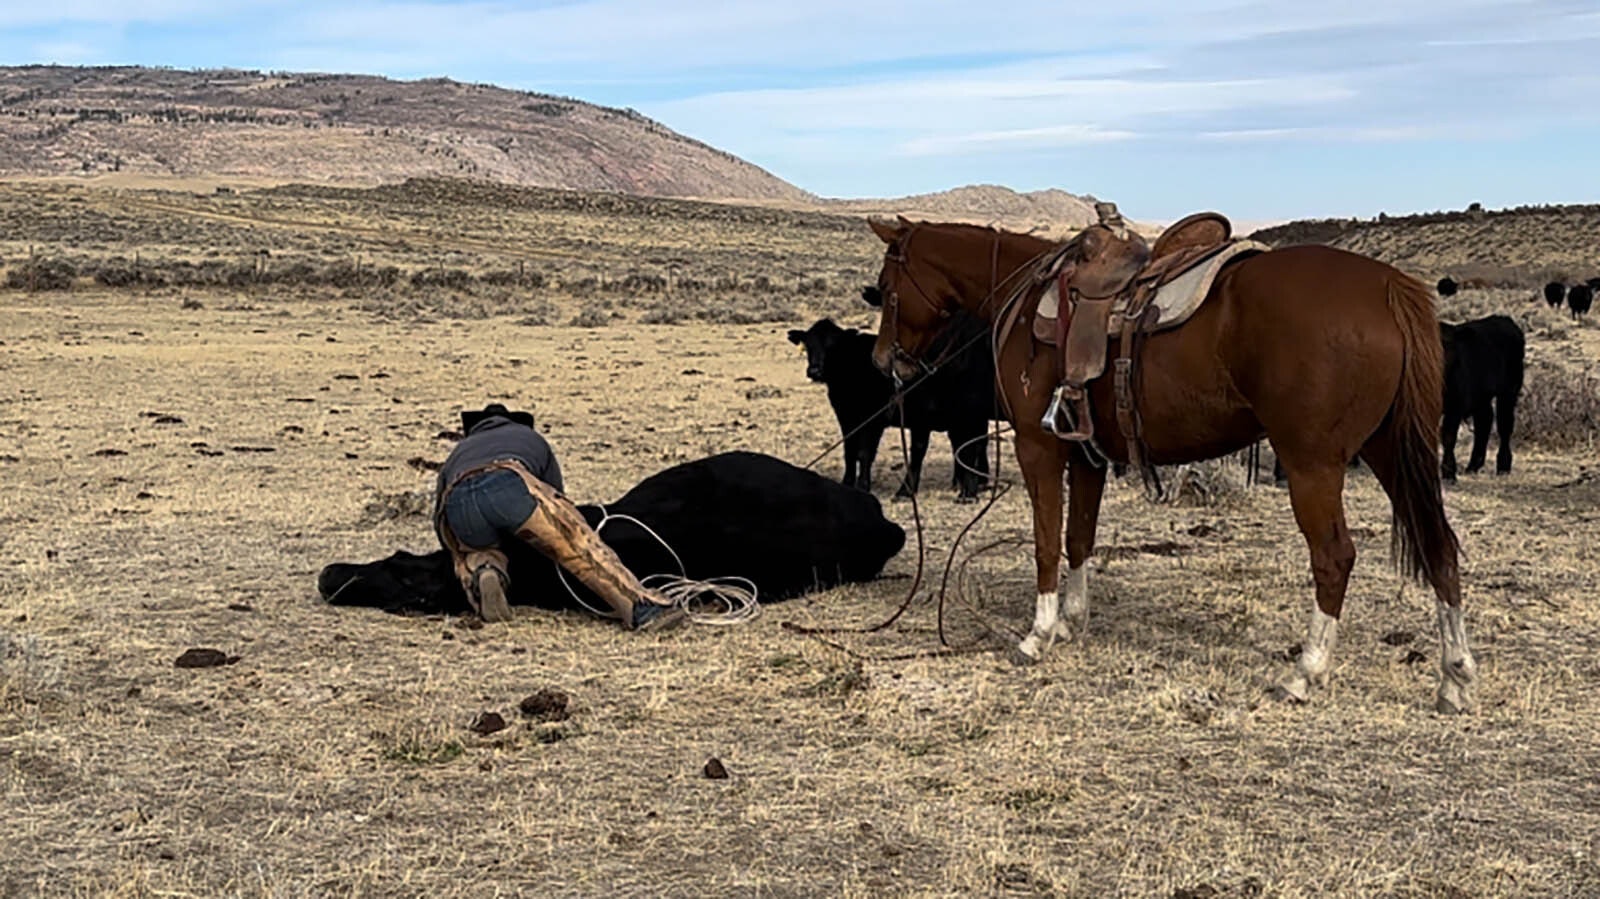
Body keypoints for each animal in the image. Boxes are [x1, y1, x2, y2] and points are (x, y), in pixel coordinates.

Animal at [790, 303, 998, 499]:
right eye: (808, 345)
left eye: (833, 345)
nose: (814, 371)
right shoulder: (847, 419)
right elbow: (849, 452)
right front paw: (847, 482)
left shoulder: (873, 421)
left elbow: (864, 454)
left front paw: (863, 485)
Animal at [870, 212, 1478, 710]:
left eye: (884, 287)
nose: (882, 361)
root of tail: (1387, 286)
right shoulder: (1086, 455)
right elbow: (1078, 539)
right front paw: (1070, 622)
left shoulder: (1037, 447)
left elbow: (1045, 541)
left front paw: (1037, 635)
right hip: (1391, 452)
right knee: (1440, 547)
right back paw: (1454, 676)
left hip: (1314, 466)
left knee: (1334, 557)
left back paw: (1304, 673)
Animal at [1440, 315, 1523, 483]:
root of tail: (1506, 320)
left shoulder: (1455, 406)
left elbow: (1448, 437)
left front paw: (1449, 474)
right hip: (1481, 397)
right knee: (1484, 422)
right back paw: (1474, 465)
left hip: (1509, 390)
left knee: (1504, 425)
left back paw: (1503, 466)